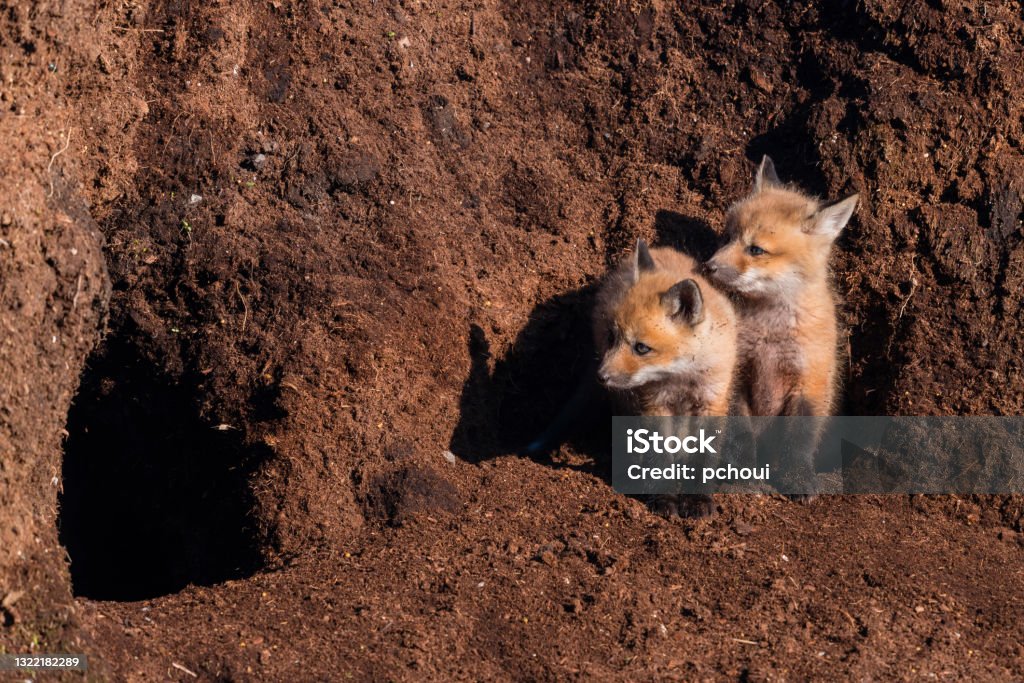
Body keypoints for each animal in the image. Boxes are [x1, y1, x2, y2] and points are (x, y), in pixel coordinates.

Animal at [594, 239, 738, 517]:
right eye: (612, 337)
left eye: (641, 348)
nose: (601, 377)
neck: (682, 377)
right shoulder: (655, 404)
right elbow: (659, 457)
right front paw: (664, 498)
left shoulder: (712, 400)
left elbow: (704, 458)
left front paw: (698, 500)